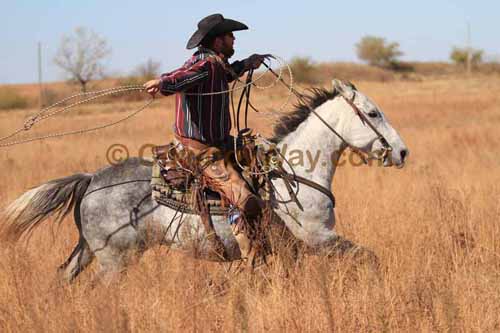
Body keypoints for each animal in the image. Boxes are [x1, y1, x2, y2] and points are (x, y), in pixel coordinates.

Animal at [2, 80, 406, 280]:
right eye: (372, 113)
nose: (402, 152)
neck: (293, 176)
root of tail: (91, 179)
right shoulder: (318, 238)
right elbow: (369, 259)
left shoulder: (294, 250)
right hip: (114, 260)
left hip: (89, 249)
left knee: (63, 277)